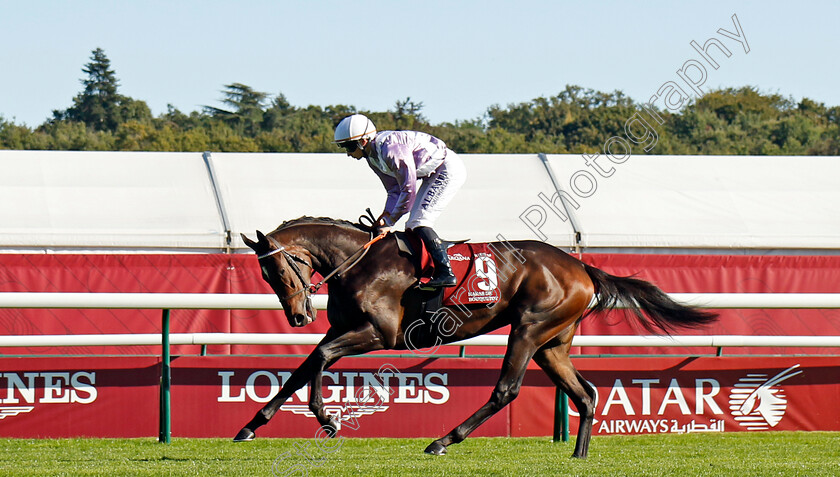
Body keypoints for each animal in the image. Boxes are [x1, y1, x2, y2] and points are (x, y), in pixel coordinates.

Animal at [235, 217, 716, 458]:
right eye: (266, 275)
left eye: (279, 269)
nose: (298, 316)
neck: (358, 262)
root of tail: (580, 266)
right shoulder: (344, 328)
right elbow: (302, 367)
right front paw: (251, 426)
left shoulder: (378, 333)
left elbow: (318, 359)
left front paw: (327, 419)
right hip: (552, 345)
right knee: (585, 394)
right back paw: (578, 456)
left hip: (528, 329)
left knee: (507, 390)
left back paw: (443, 441)